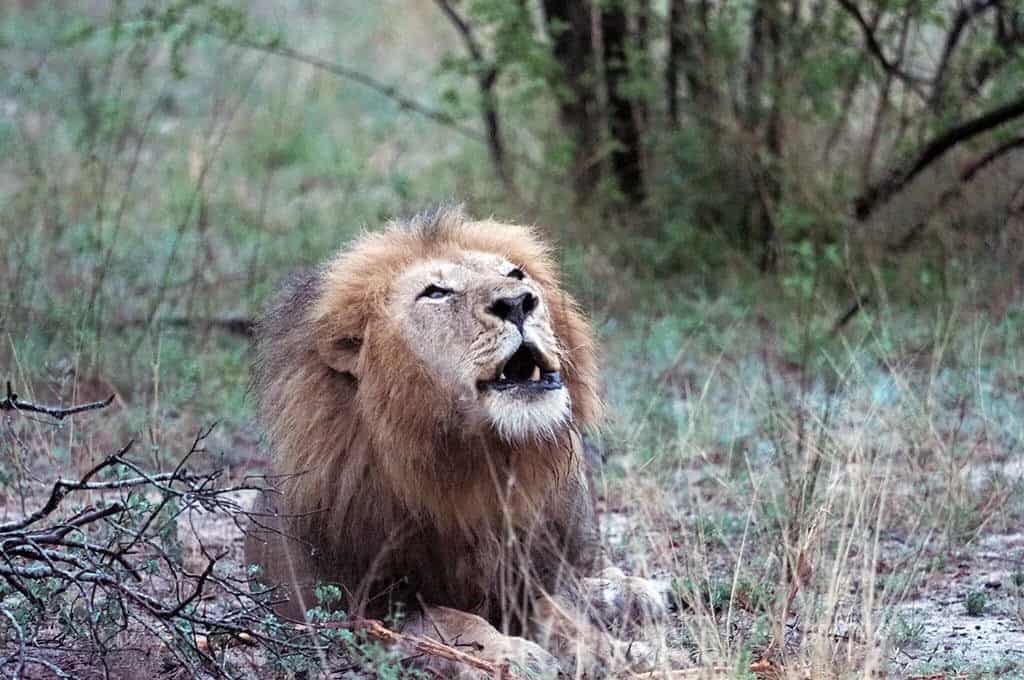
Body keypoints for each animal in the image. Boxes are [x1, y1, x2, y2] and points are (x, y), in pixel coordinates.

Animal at [244, 209, 675, 675]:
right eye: (436, 292)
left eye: (515, 274)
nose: (518, 302)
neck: (484, 456)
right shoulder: (362, 607)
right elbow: (449, 621)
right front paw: (516, 655)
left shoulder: (527, 574)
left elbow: (558, 612)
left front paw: (611, 651)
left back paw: (637, 593)